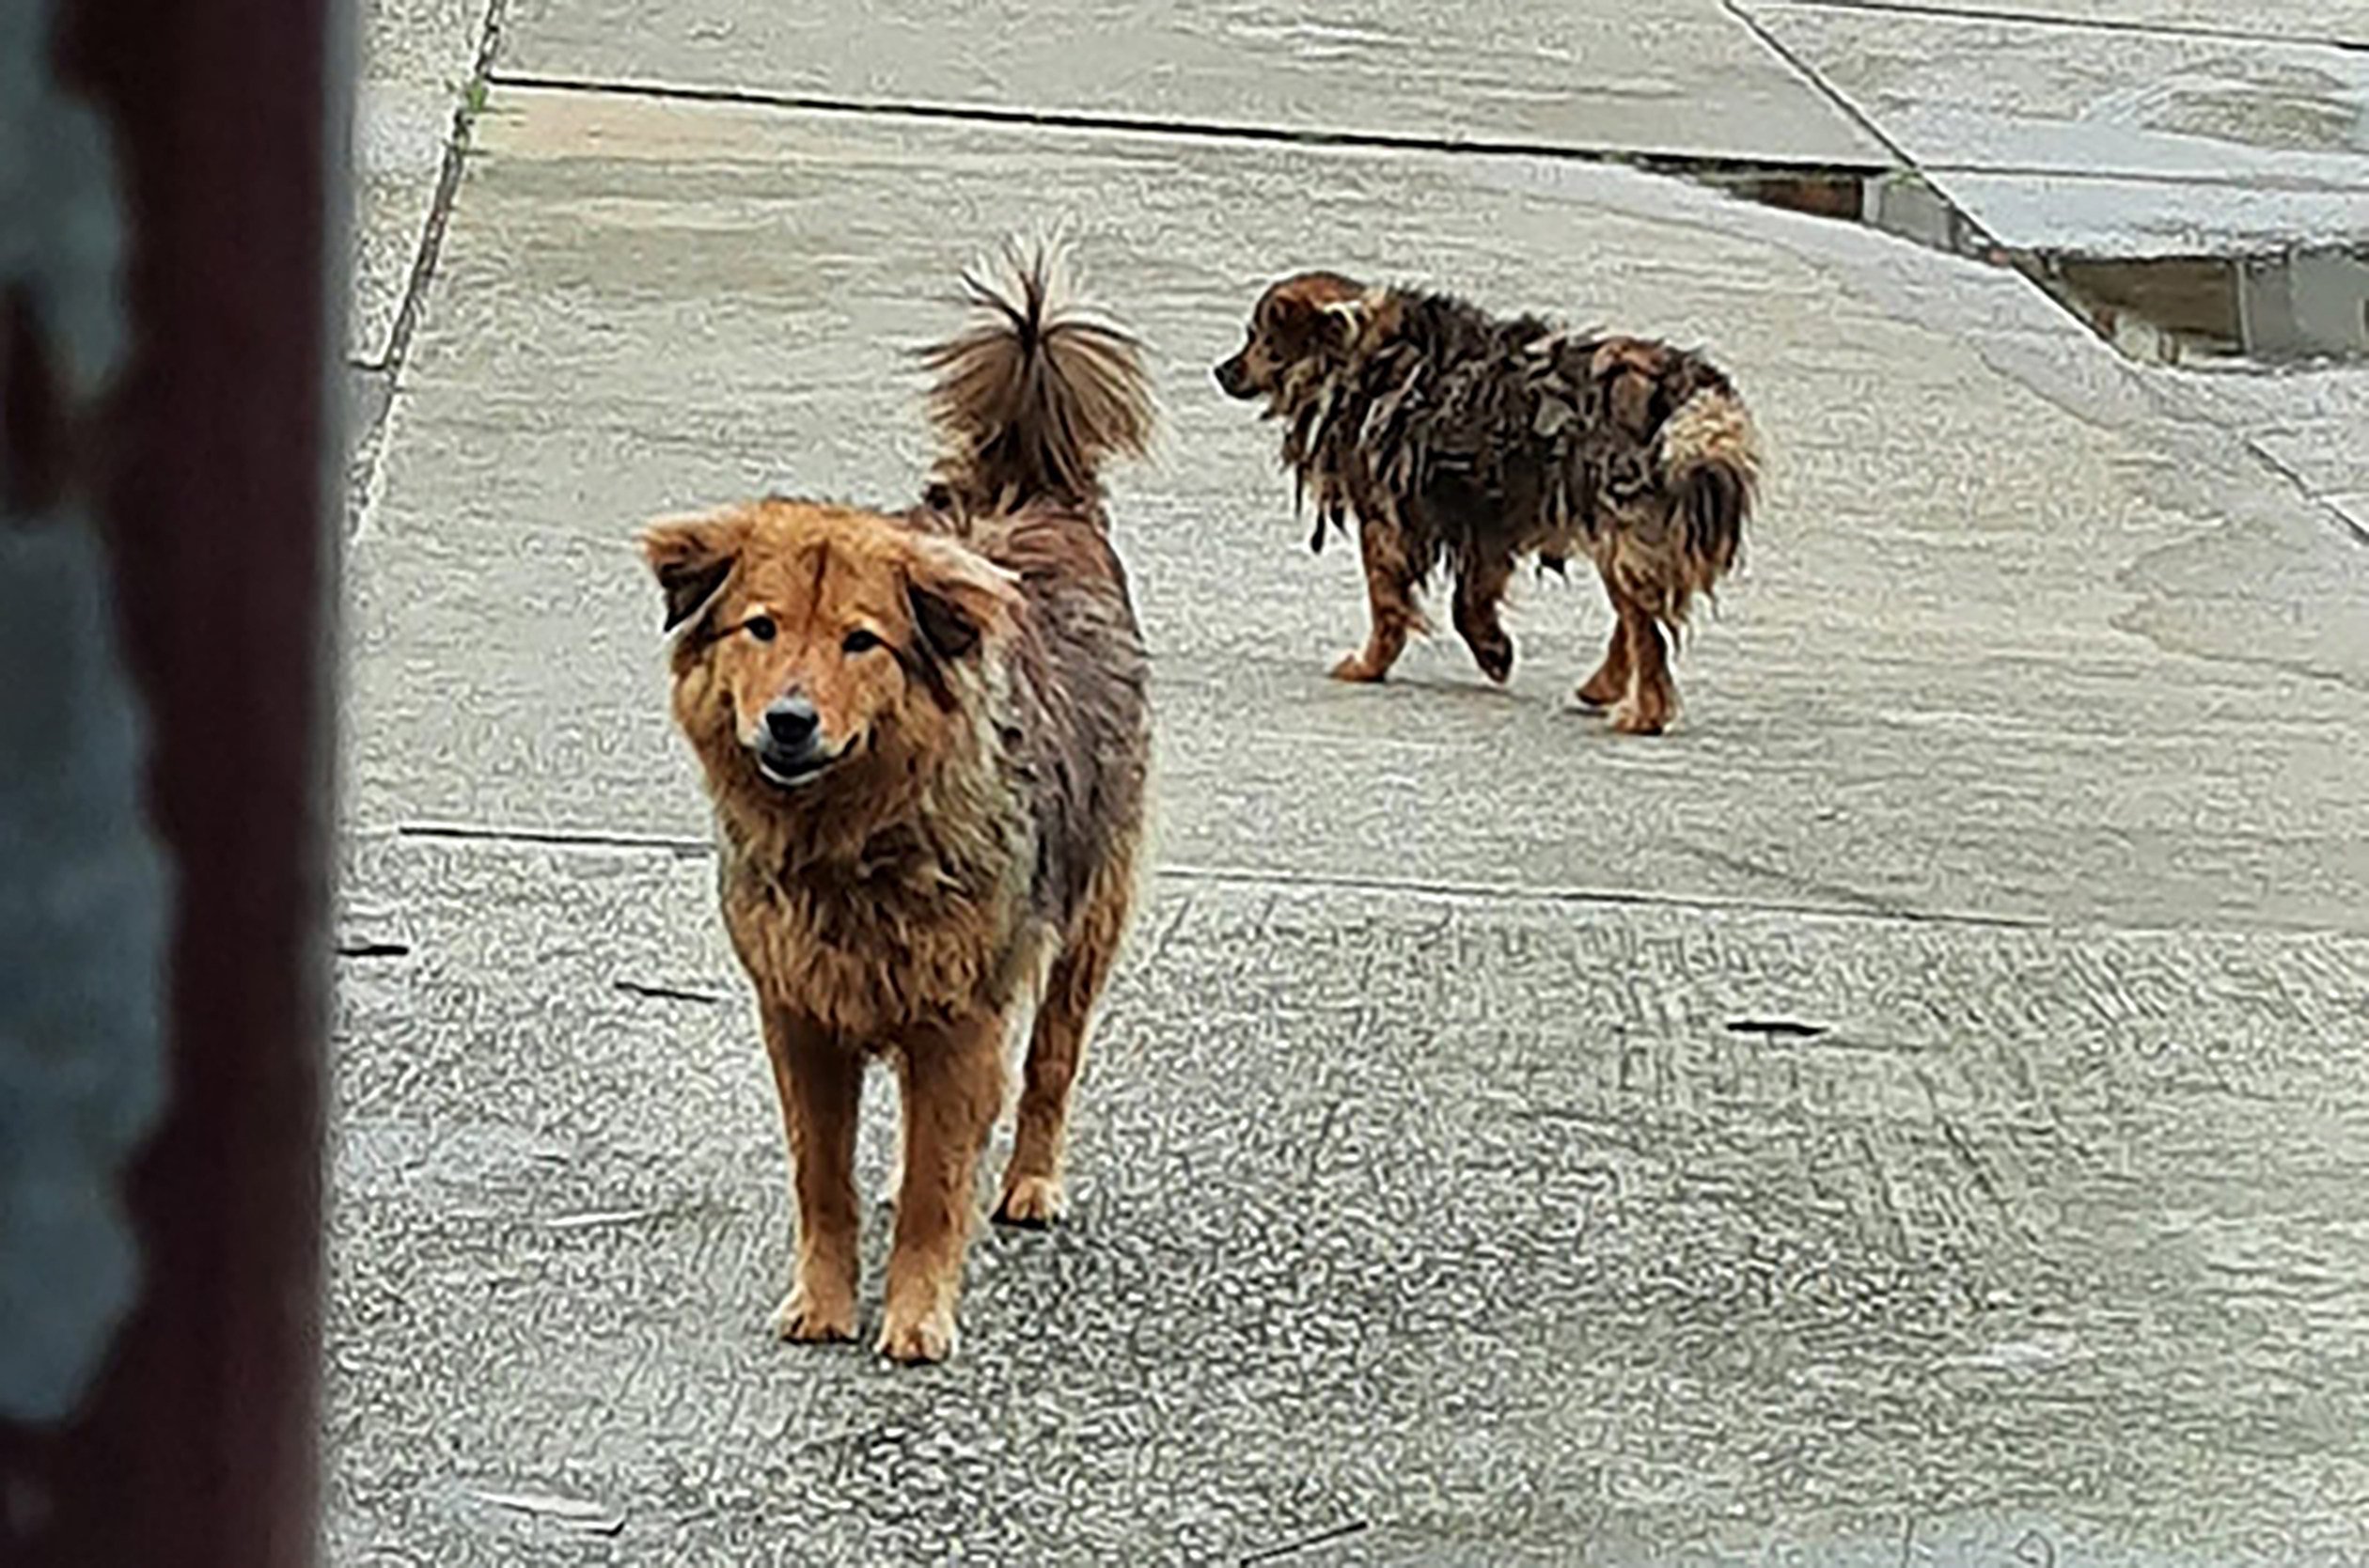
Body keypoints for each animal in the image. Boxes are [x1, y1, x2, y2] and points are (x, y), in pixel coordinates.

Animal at [639, 246, 1155, 1364]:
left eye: (861, 642)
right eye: (761, 627)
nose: (789, 722)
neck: (851, 842)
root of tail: (1026, 491)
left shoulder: (960, 1017)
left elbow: (936, 1186)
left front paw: (917, 1315)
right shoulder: (798, 1016)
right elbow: (821, 1177)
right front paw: (825, 1302)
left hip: (1090, 915)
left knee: (1048, 1064)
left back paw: (1030, 1181)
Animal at [1222, 272, 1762, 739]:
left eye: (1255, 336)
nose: (1220, 370)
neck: (1359, 356)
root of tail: (1688, 390)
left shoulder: (1390, 517)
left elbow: (1389, 606)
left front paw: (1369, 665)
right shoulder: (1486, 525)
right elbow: (1469, 601)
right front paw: (1493, 649)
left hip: (1620, 516)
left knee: (1645, 633)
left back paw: (1642, 714)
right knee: (1635, 623)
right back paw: (1603, 687)